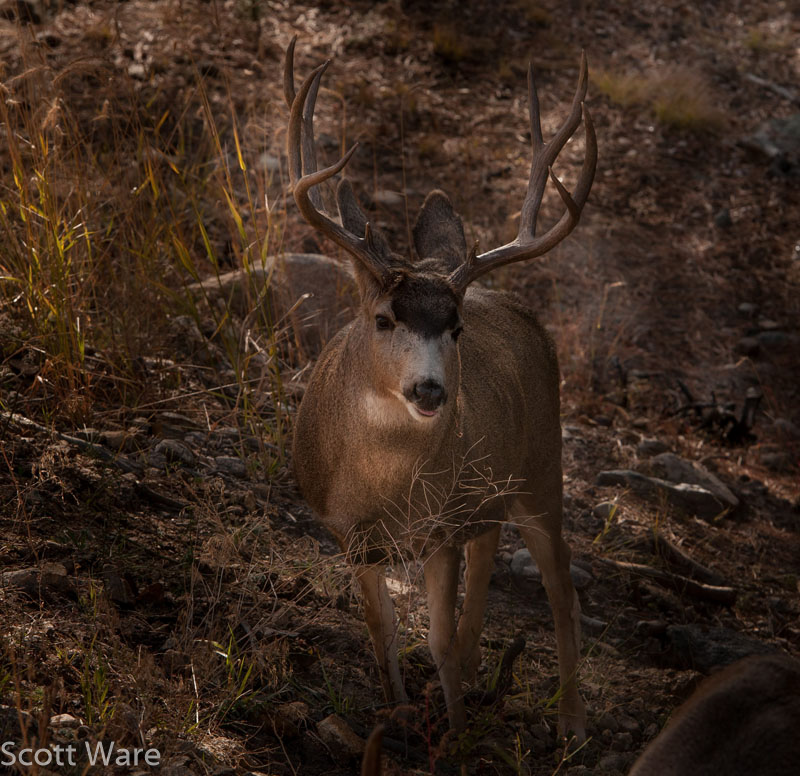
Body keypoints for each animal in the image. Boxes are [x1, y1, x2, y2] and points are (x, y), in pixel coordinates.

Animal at [285, 37, 596, 740]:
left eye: (454, 328)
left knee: (561, 586)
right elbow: (383, 630)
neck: (386, 490)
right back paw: (484, 680)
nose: (430, 392)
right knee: (491, 549)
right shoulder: (351, 535)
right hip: (491, 490)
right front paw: (399, 712)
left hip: (543, 469)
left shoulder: (440, 528)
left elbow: (438, 639)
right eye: (382, 318)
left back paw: (569, 723)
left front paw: (453, 737)